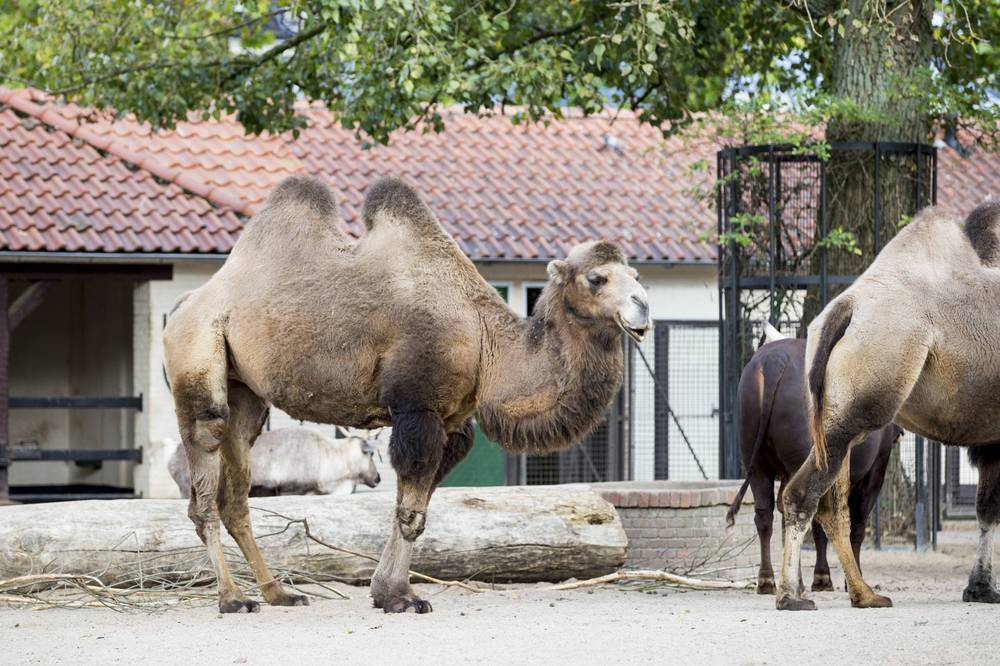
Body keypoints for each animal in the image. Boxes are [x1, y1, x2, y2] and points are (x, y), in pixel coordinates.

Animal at [163, 175, 650, 614]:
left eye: (635, 274)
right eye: (596, 278)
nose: (643, 305)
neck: (484, 338)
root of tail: (183, 304)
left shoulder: (452, 424)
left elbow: (414, 508)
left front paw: (387, 592)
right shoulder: (418, 408)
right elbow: (411, 514)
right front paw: (401, 597)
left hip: (245, 390)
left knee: (236, 483)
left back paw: (278, 594)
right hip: (198, 355)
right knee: (205, 463)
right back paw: (232, 598)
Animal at [776, 199, 1000, 611]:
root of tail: (846, 307)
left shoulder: (992, 438)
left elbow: (988, 508)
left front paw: (980, 590)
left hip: (832, 417)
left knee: (831, 504)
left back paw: (861, 594)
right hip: (866, 392)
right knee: (806, 496)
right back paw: (792, 596)